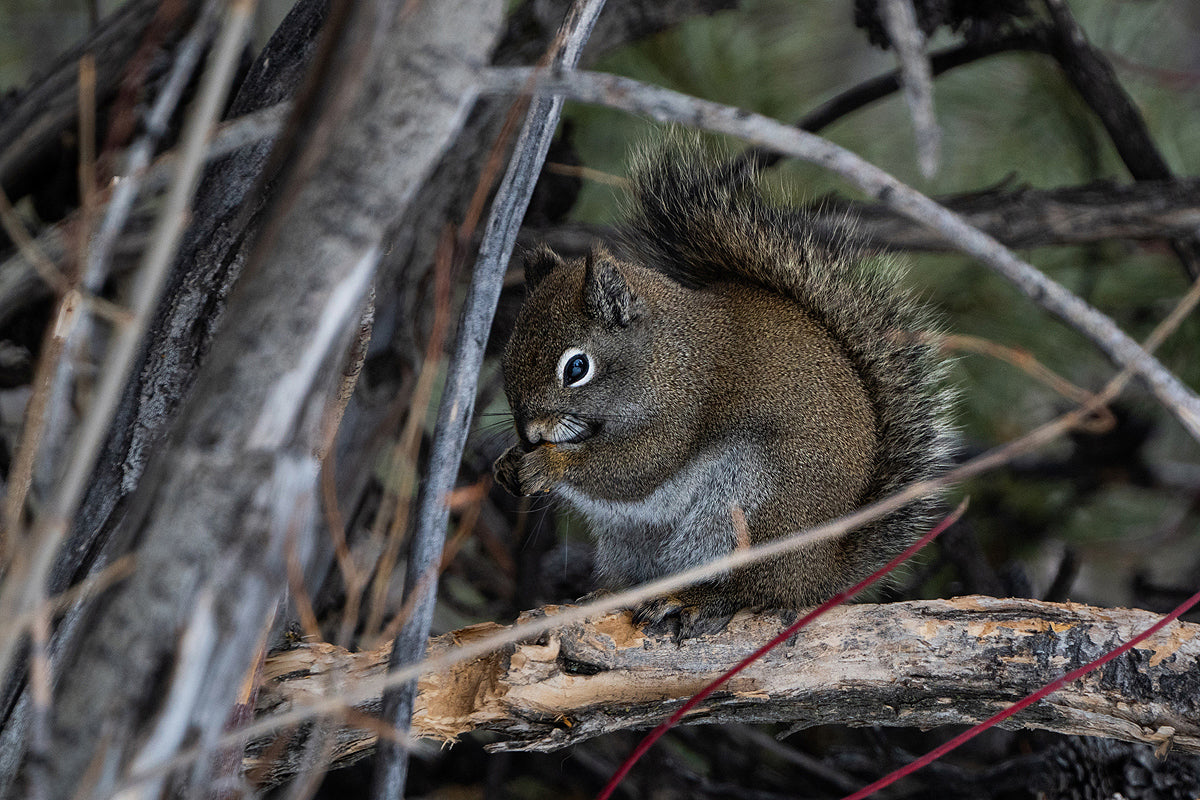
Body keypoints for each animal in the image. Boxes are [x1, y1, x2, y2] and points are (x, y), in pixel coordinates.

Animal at [492, 136, 950, 638]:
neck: (663, 357)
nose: (531, 432)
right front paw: (508, 462)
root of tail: (822, 573)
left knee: (748, 590)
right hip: (631, 538)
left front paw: (548, 464)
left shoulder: (682, 411)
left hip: (746, 512)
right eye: (508, 351)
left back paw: (692, 600)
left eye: (577, 367)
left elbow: (633, 468)